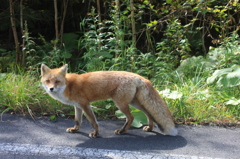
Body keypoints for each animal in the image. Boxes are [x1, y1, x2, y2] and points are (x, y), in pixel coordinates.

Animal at [40, 64, 177, 137]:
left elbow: (93, 121)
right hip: (135, 103)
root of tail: (139, 77)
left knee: (131, 117)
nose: (51, 88)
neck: (69, 86)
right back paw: (149, 128)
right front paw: (75, 129)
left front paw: (96, 134)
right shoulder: (77, 106)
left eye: (57, 81)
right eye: (48, 81)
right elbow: (77, 120)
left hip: (120, 103)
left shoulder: (85, 104)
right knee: (149, 113)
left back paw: (122, 131)